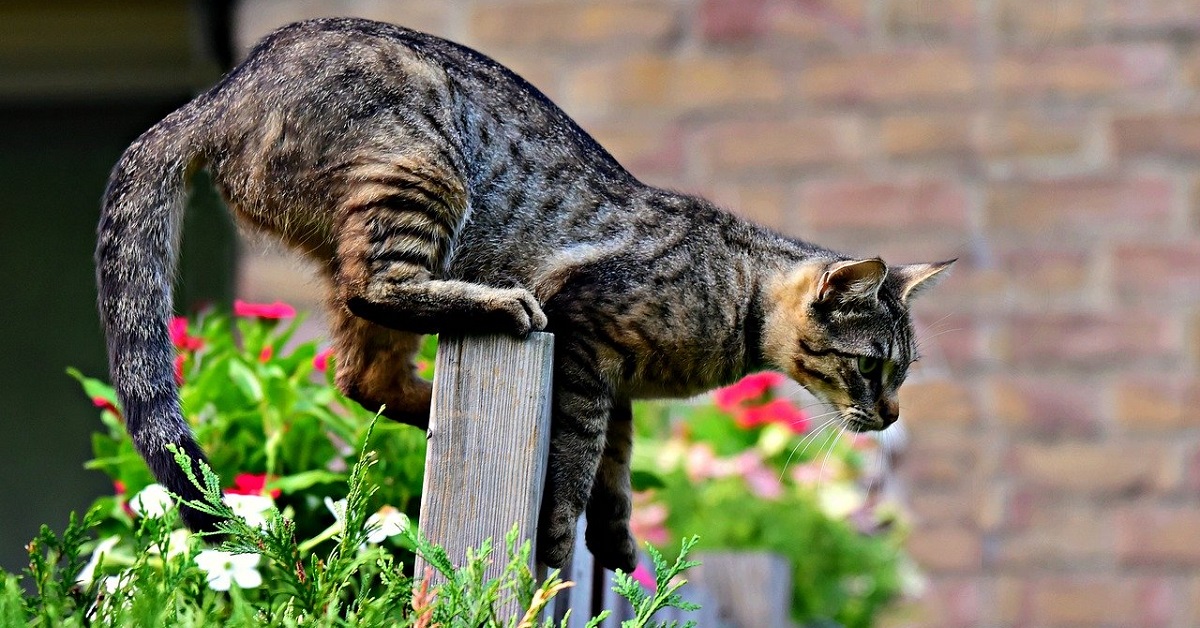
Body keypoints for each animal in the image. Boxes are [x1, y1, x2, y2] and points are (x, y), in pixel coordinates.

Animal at [96, 18, 945, 569]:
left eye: (900, 374)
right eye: (871, 368)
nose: (891, 415)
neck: (735, 299)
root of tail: (220, 92)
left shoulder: (615, 385)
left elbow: (616, 468)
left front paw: (617, 540)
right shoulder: (586, 341)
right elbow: (575, 462)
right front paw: (561, 539)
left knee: (361, 376)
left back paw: (434, 411)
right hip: (419, 172)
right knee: (380, 292)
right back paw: (498, 308)